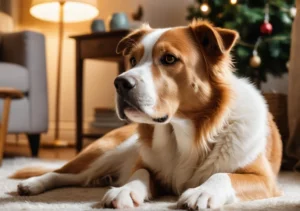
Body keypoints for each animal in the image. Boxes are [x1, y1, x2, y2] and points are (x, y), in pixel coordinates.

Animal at [11, 20, 282, 209]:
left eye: (169, 59)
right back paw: (33, 184)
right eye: (132, 60)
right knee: (63, 172)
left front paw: (203, 191)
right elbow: (139, 173)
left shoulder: (265, 180)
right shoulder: (146, 163)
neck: (184, 133)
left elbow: (223, 175)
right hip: (106, 152)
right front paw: (125, 190)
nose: (120, 83)